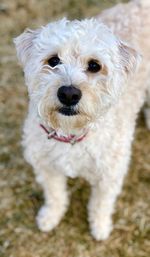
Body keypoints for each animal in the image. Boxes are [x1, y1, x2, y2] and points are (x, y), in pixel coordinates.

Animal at [13, 0, 149, 240]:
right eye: (53, 60)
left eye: (94, 65)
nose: (68, 94)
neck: (72, 135)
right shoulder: (46, 167)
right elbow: (55, 195)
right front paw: (50, 217)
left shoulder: (109, 176)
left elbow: (101, 204)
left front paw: (100, 227)